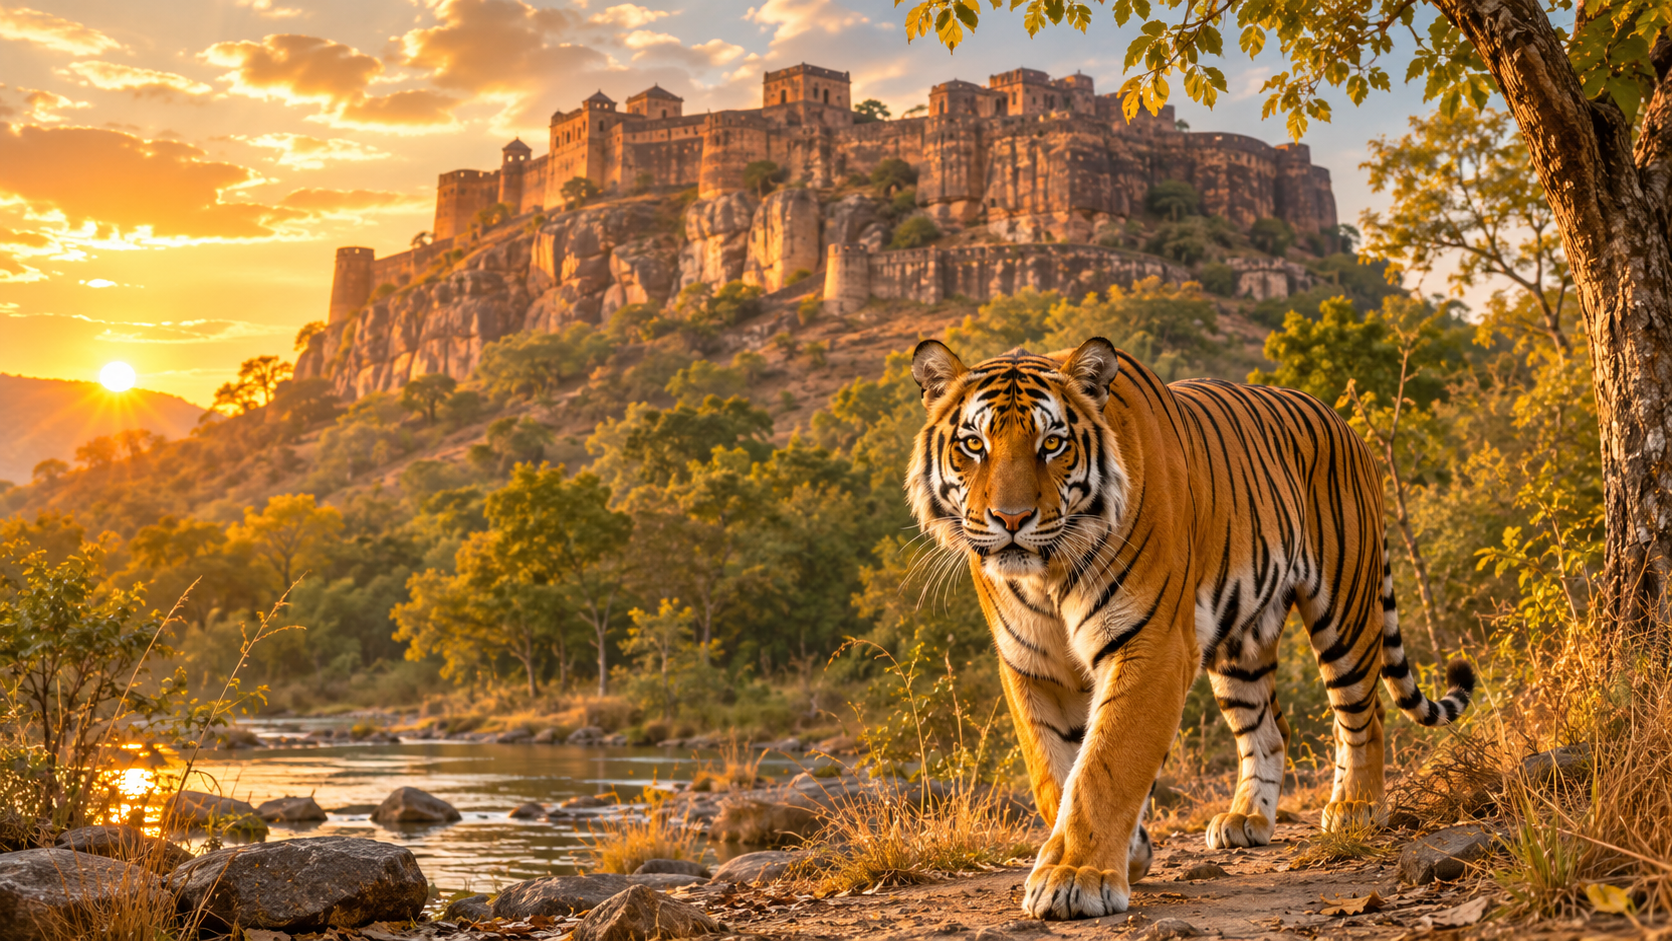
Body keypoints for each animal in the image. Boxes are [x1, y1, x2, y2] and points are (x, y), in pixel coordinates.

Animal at [905, 337, 1475, 921]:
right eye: (974, 444)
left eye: (1053, 444)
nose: (1011, 519)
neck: (1048, 575)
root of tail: (1343, 421)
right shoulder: (1031, 664)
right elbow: (1054, 773)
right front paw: (1124, 853)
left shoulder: (1150, 642)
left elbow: (1105, 764)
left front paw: (1076, 876)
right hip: (1240, 646)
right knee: (1268, 731)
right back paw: (1247, 819)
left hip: (1344, 608)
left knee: (1363, 715)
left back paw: (1354, 808)